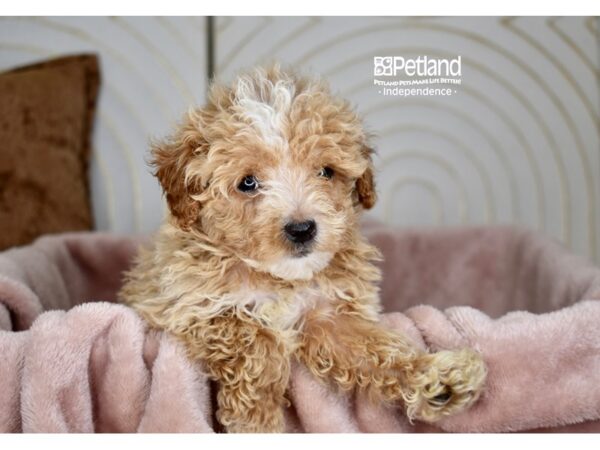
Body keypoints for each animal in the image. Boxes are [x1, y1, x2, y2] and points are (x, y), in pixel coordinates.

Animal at [118, 64, 488, 432]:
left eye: (325, 171)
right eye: (247, 183)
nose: (302, 229)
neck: (280, 280)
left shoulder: (328, 315)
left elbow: (375, 346)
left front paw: (435, 379)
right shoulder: (187, 307)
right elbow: (256, 339)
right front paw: (257, 423)